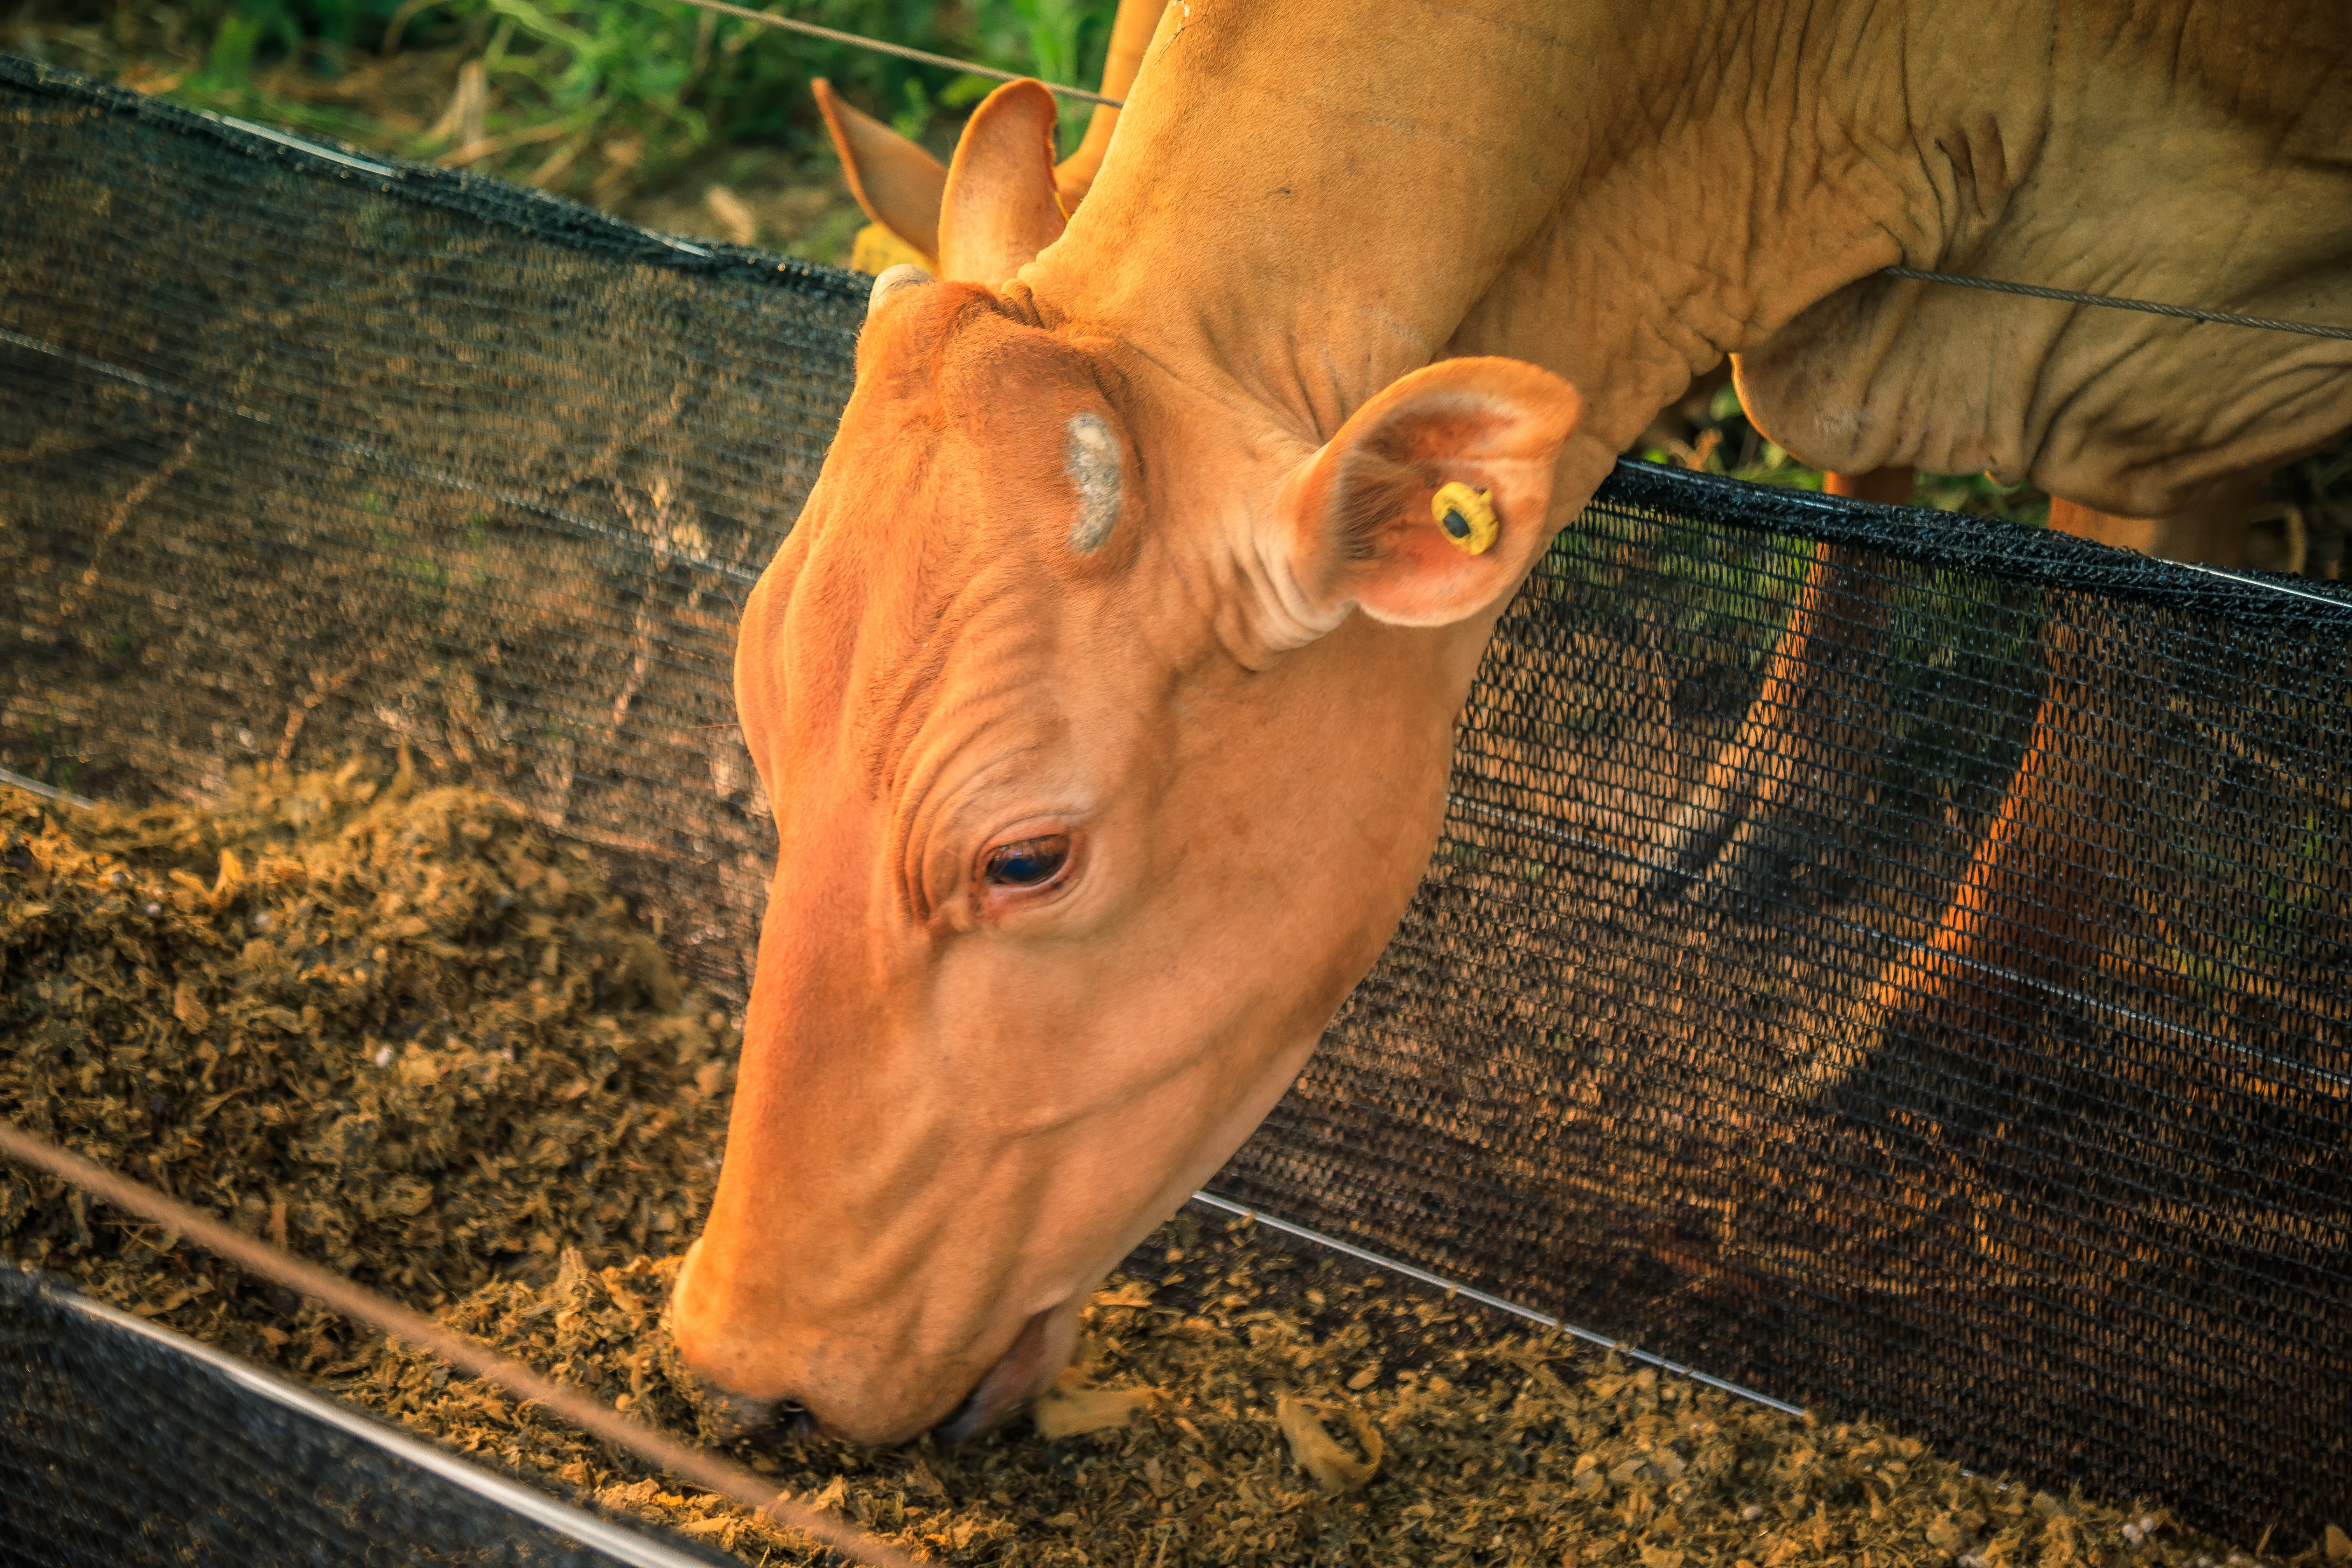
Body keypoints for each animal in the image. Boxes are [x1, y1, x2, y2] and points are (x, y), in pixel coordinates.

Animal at [668, 0, 2352, 1448]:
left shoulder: (2167, 366)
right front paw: (1777, 798)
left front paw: (1935, 1029)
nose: (740, 1364)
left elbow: (2108, 625)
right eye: (757, 727)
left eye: (1024, 859)